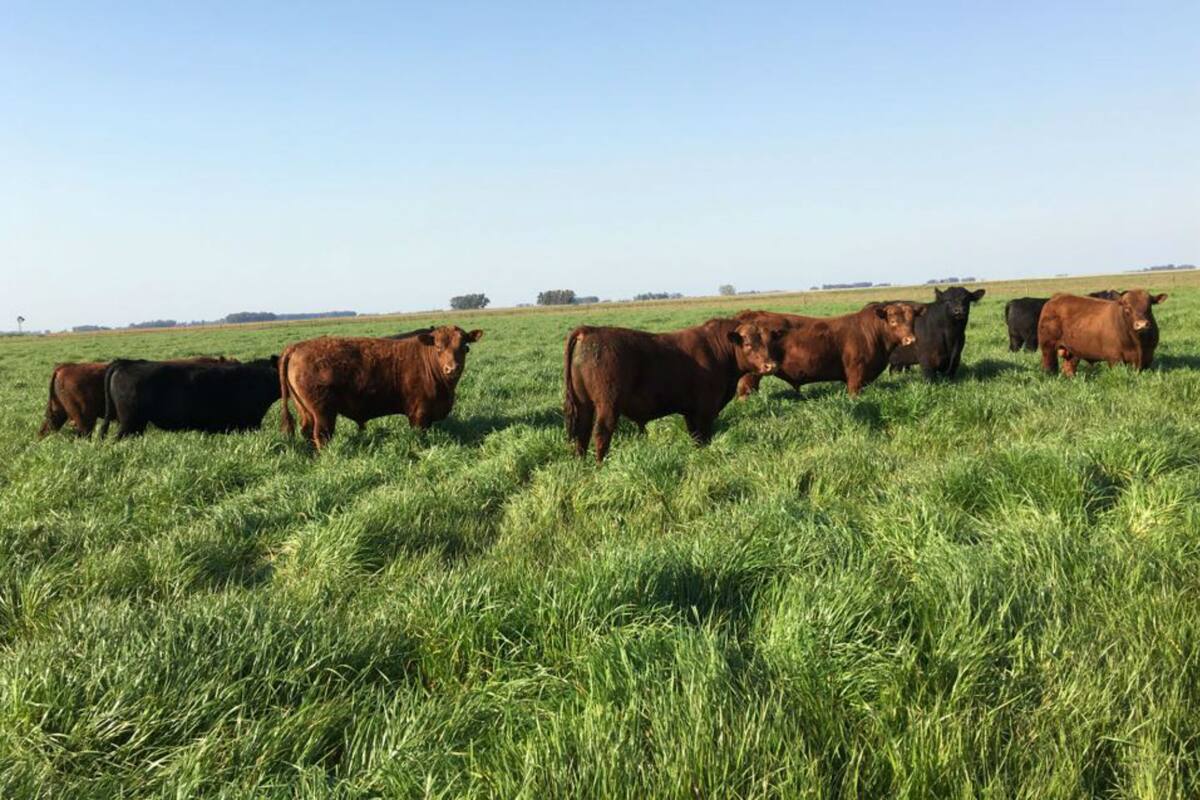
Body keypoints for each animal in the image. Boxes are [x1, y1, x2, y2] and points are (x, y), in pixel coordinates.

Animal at [279, 326, 483, 449]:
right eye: (439, 347)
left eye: (464, 346)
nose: (452, 368)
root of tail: (297, 346)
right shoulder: (419, 414)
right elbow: (419, 436)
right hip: (323, 412)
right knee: (321, 435)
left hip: (305, 410)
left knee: (306, 432)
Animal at [562, 318, 780, 462]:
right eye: (748, 344)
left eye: (768, 342)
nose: (770, 365)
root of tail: (589, 331)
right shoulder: (705, 409)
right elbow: (704, 436)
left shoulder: (691, 412)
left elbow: (695, 436)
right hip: (607, 404)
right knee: (601, 433)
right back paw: (601, 465)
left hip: (584, 404)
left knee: (582, 433)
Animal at [734, 303, 923, 398]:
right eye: (893, 321)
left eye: (912, 320)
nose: (910, 339)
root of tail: (747, 314)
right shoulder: (856, 373)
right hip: (751, 375)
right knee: (745, 391)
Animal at [1038, 290, 1167, 376]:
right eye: (1127, 308)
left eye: (1149, 307)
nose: (1141, 324)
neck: (1137, 343)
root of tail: (1057, 297)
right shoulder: (1115, 358)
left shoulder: (1147, 357)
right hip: (1047, 346)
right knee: (1049, 366)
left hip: (1074, 350)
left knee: (1069, 367)